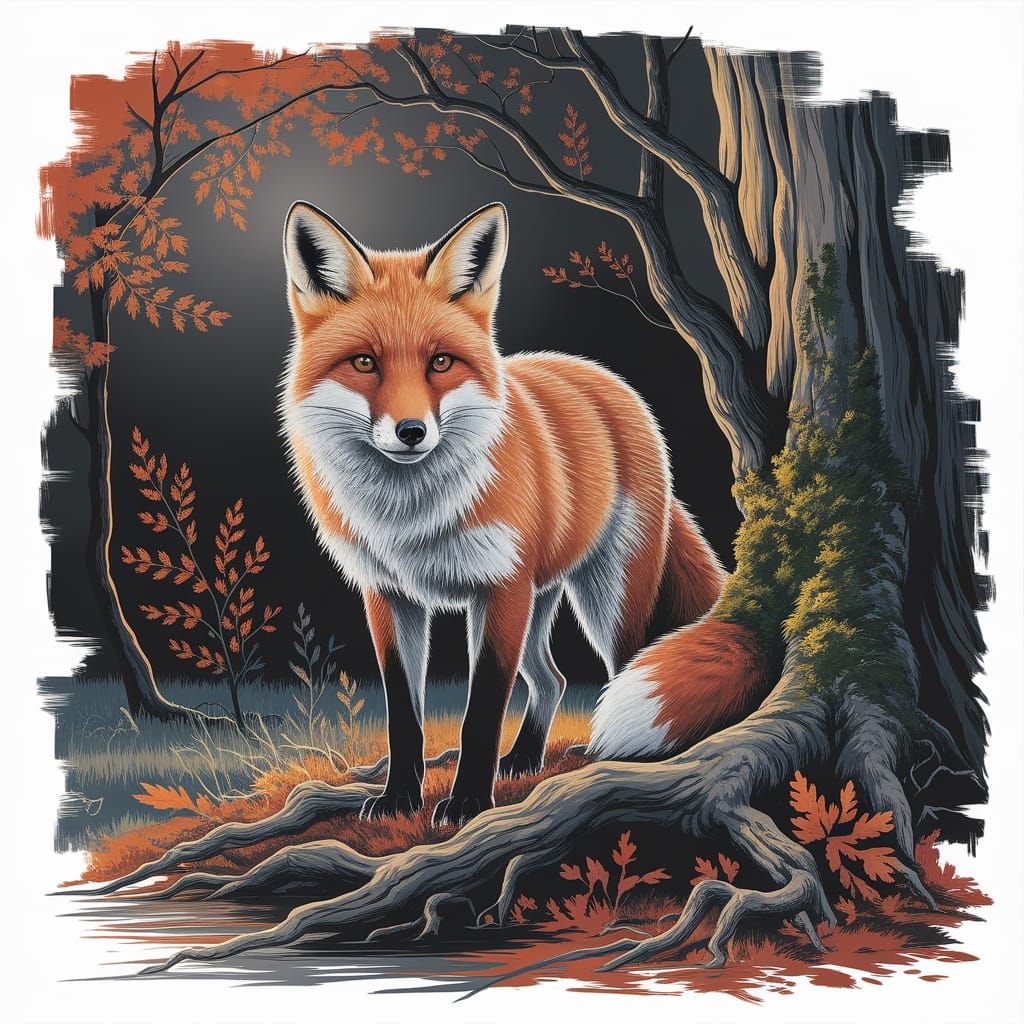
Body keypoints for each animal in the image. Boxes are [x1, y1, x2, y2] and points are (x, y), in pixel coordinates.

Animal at [279, 200, 769, 828]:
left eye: (441, 362)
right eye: (364, 363)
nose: (411, 432)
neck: (409, 518)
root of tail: (603, 377)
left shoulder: (499, 587)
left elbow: (481, 710)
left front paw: (467, 801)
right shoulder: (389, 596)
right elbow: (404, 716)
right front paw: (399, 799)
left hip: (606, 598)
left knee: (624, 665)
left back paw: (614, 762)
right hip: (542, 597)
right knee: (553, 678)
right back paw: (526, 758)